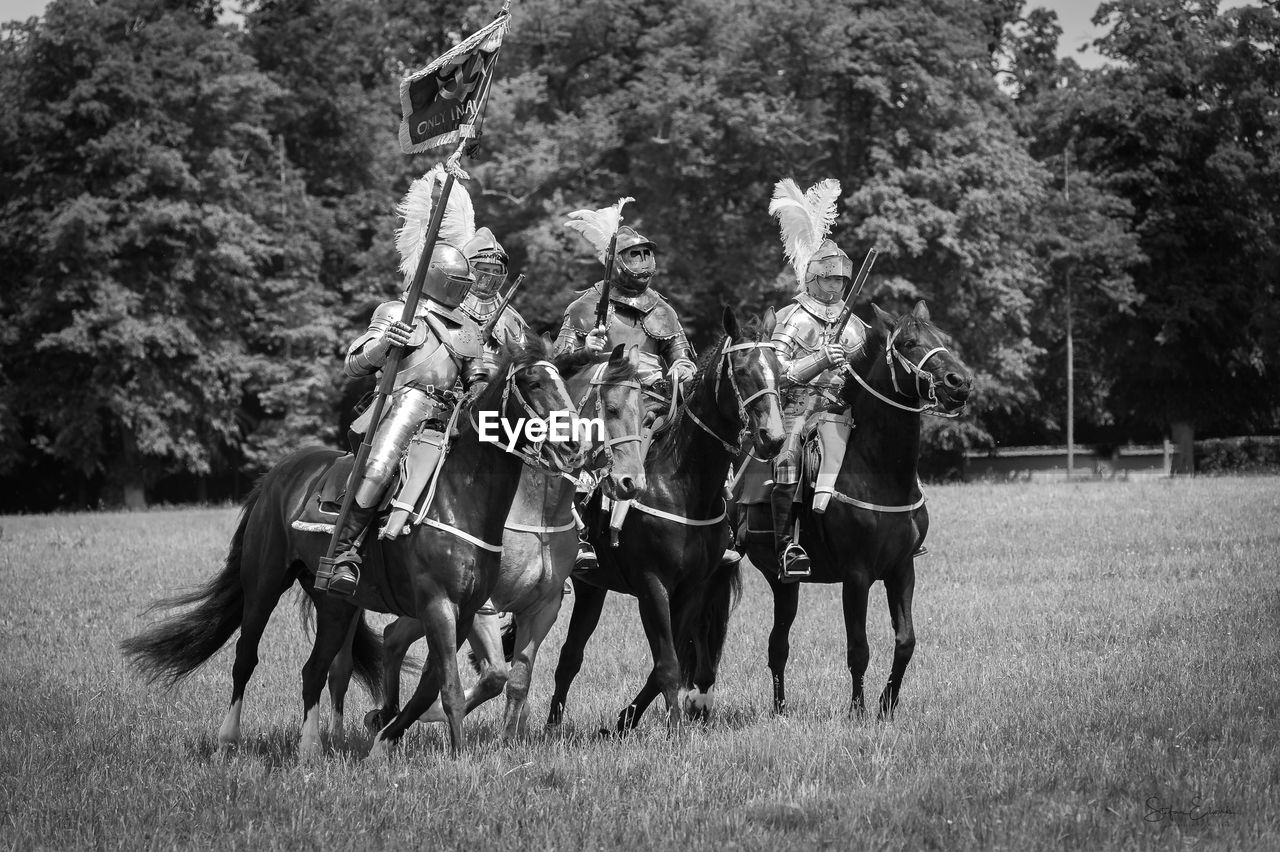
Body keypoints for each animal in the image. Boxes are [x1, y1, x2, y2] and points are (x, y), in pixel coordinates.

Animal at [120, 332, 581, 757]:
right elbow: (449, 685)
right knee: (246, 657)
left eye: (563, 380)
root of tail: (279, 474)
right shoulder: (439, 604)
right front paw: (455, 755)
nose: (574, 441)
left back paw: (312, 746)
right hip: (263, 584)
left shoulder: (466, 610)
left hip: (335, 602)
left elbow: (432, 686)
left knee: (317, 669)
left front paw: (383, 740)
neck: (459, 494)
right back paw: (230, 739)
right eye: (534, 382)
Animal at [545, 307, 783, 731]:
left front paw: (625, 721)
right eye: (741, 370)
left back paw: (553, 724)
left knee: (569, 657)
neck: (681, 484)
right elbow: (669, 663)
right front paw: (674, 730)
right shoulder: (652, 584)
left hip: (592, 588)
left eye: (777, 368)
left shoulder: (693, 588)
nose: (773, 438)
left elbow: (664, 664)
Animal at [737, 300, 972, 716]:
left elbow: (906, 641)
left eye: (941, 337)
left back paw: (780, 708)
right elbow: (858, 649)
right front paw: (858, 712)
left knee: (777, 645)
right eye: (909, 343)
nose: (959, 382)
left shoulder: (902, 569)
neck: (879, 470)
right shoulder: (857, 575)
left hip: (785, 586)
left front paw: (886, 706)